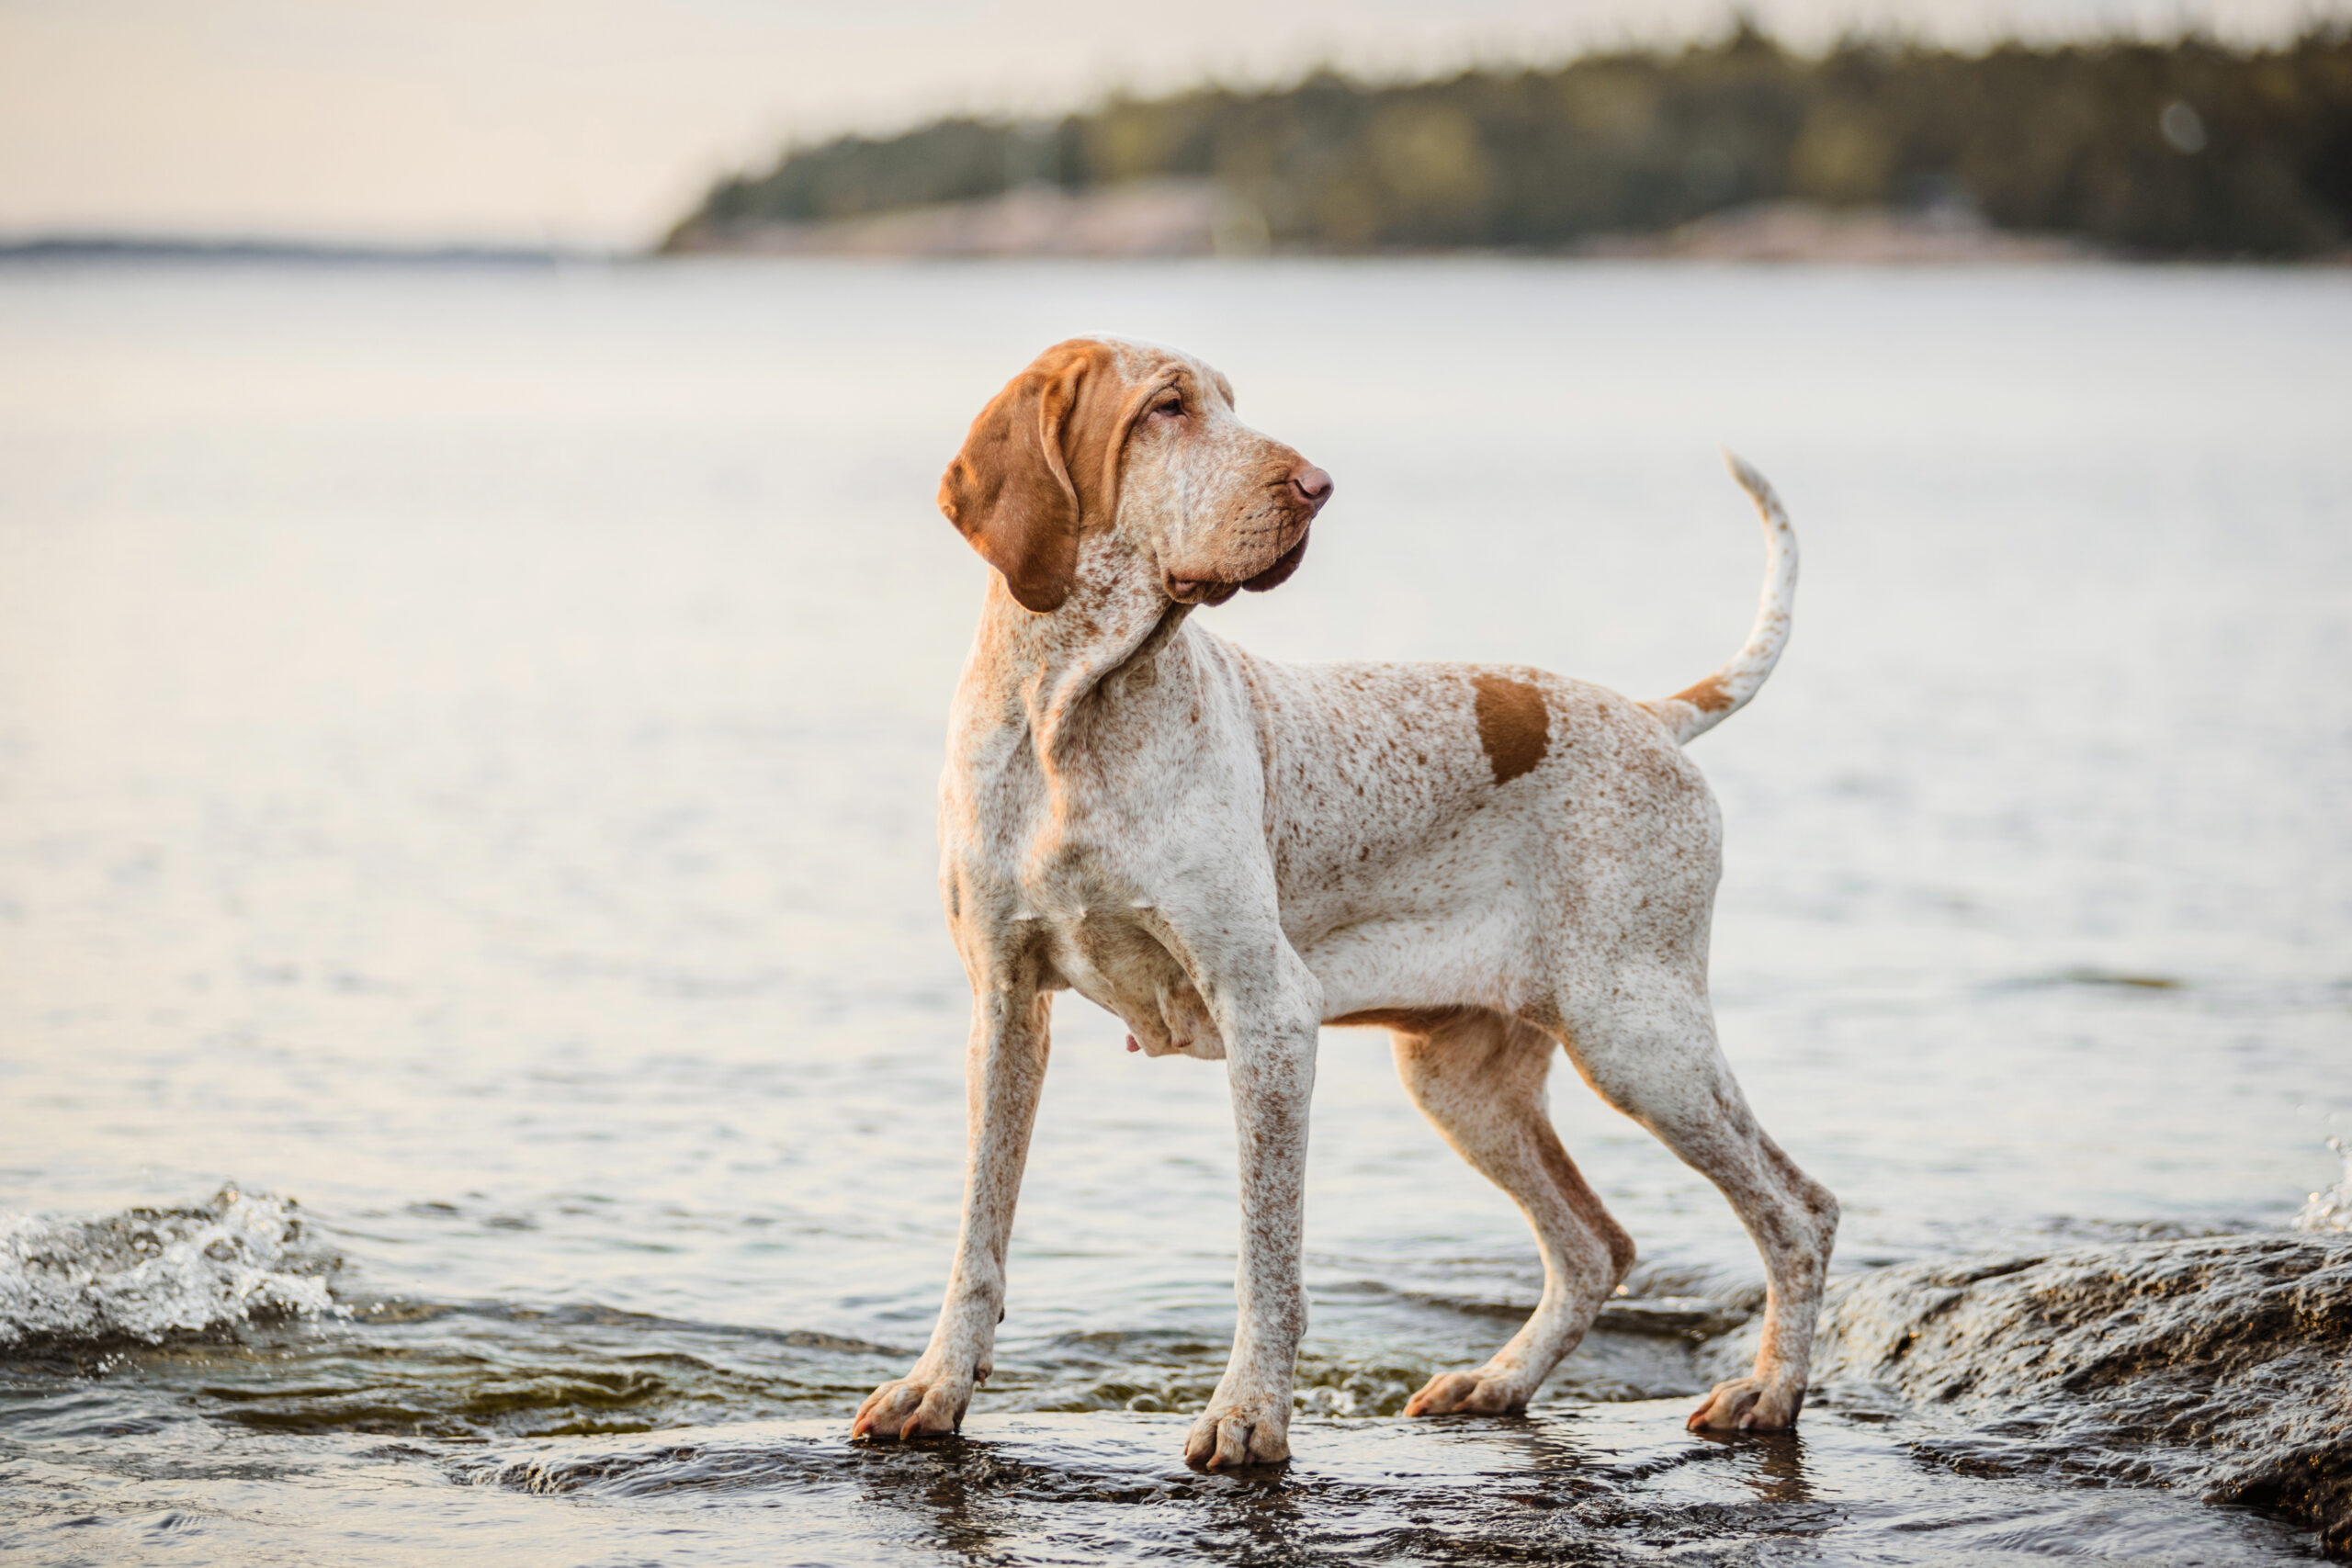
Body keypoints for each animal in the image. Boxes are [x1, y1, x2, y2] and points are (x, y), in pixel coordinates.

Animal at [855, 333, 1844, 1476]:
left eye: (1229, 402)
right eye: (1165, 407)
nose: (1316, 486)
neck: (1073, 717)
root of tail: (1652, 716)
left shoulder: (1267, 1016)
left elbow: (1266, 1254)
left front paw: (1249, 1414)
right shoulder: (1007, 1011)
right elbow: (979, 1235)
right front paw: (934, 1388)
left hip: (1638, 1039)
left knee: (1798, 1211)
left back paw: (1768, 1393)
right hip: (1463, 1082)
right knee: (1596, 1244)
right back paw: (1497, 1383)